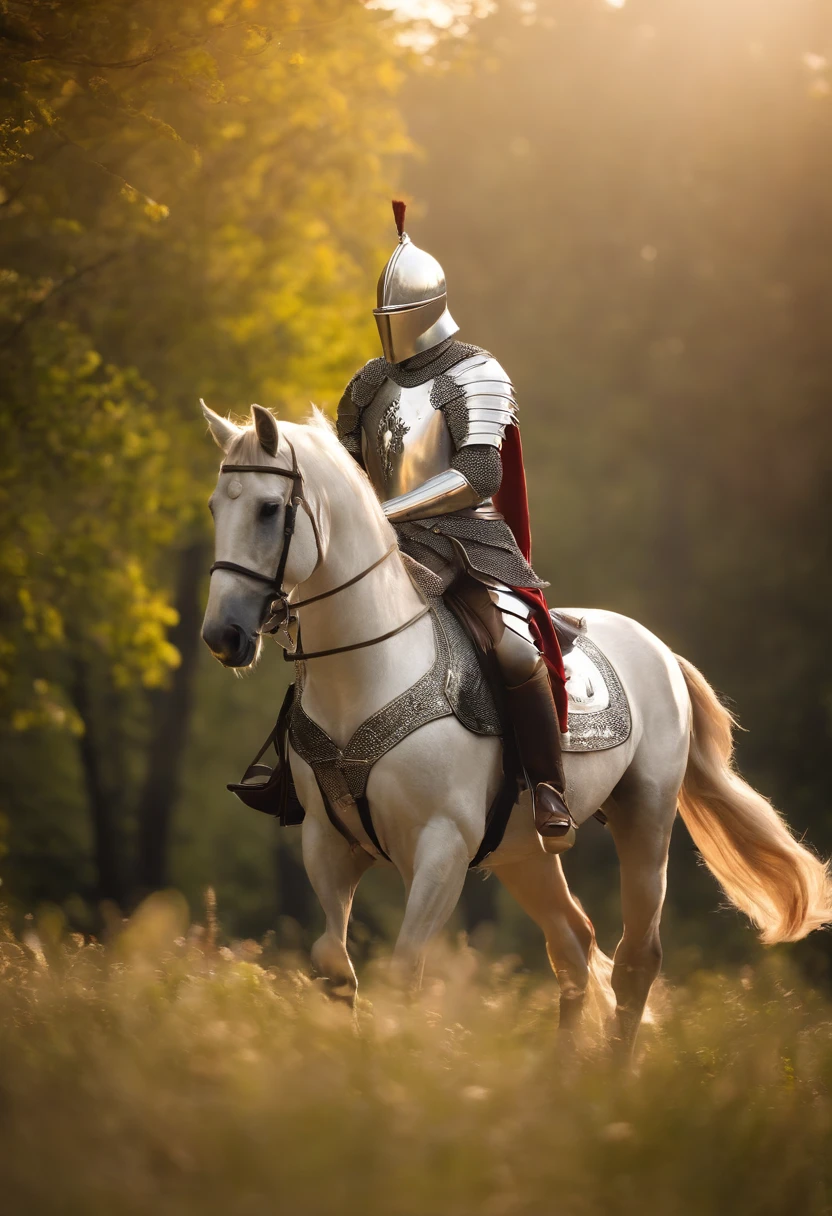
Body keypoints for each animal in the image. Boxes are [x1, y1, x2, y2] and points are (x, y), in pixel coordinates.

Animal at [201, 403, 832, 1050]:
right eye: (216, 508)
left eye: (269, 509)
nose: (223, 635)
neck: (369, 667)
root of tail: (659, 650)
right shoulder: (327, 844)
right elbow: (335, 967)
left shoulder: (442, 845)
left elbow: (404, 972)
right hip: (525, 852)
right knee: (574, 945)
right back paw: (560, 1071)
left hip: (646, 820)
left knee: (636, 960)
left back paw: (613, 1069)